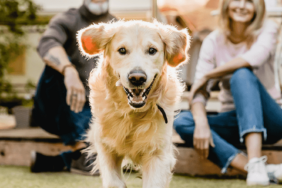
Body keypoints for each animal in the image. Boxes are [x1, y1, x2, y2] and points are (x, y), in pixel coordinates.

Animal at [77, 20, 189, 188]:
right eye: (122, 50)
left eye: (152, 50)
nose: (137, 78)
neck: (132, 114)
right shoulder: (105, 146)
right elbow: (113, 182)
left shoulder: (158, 153)